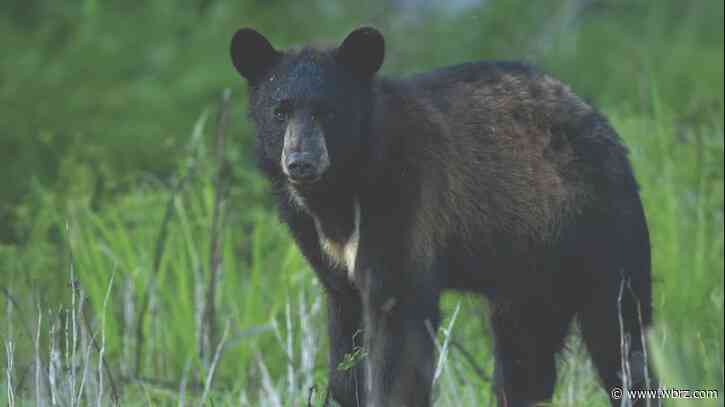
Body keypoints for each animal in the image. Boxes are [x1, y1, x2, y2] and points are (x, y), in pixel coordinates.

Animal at [230, 27, 655, 407]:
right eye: (280, 110)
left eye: (328, 111)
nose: (300, 162)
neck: (342, 188)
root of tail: (602, 123)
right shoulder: (320, 246)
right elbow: (345, 334)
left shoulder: (405, 201)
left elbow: (398, 329)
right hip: (529, 269)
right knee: (525, 359)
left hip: (597, 231)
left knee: (619, 337)